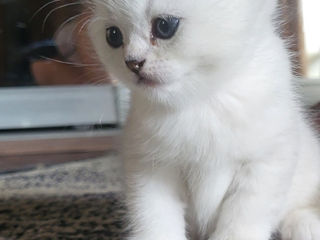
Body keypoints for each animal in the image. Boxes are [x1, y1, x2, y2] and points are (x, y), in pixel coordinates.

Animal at [87, 0, 320, 239]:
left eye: (164, 26)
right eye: (113, 36)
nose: (132, 63)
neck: (198, 105)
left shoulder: (266, 163)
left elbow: (241, 220)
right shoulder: (149, 167)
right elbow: (154, 218)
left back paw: (306, 226)